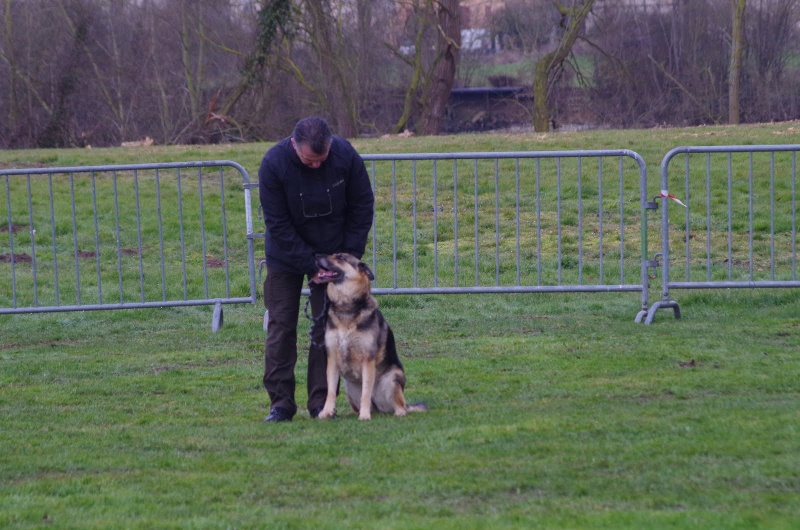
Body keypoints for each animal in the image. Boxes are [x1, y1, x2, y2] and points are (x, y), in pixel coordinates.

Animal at [314, 252, 428, 420]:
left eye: (340, 257)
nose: (316, 255)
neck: (346, 307)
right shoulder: (332, 359)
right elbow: (331, 392)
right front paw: (326, 412)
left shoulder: (367, 359)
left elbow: (366, 393)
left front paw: (365, 416)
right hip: (349, 388)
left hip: (392, 379)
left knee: (400, 405)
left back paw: (397, 412)